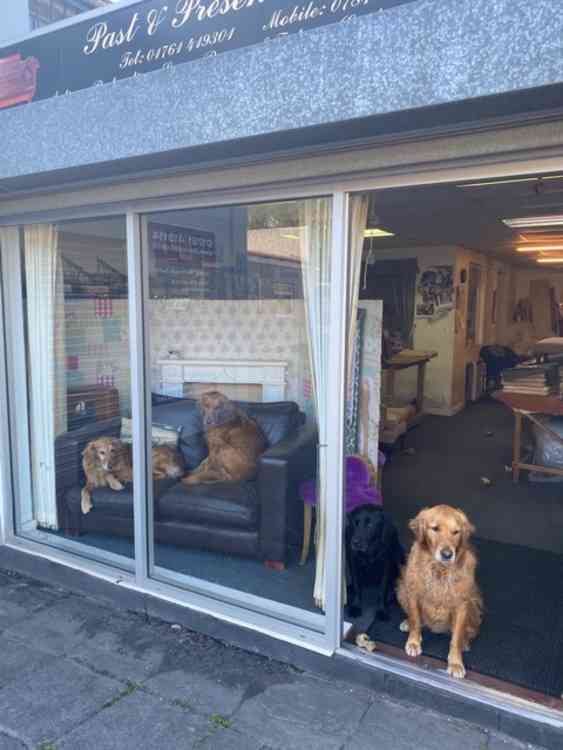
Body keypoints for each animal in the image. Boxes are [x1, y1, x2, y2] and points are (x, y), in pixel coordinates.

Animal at [396, 506, 484, 680]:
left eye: (456, 532)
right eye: (435, 528)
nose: (447, 554)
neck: (439, 569)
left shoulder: (461, 604)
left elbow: (456, 637)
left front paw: (456, 663)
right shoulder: (413, 592)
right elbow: (416, 620)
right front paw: (413, 642)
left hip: (473, 602)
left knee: (470, 630)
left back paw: (465, 642)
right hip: (402, 588)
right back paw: (407, 623)